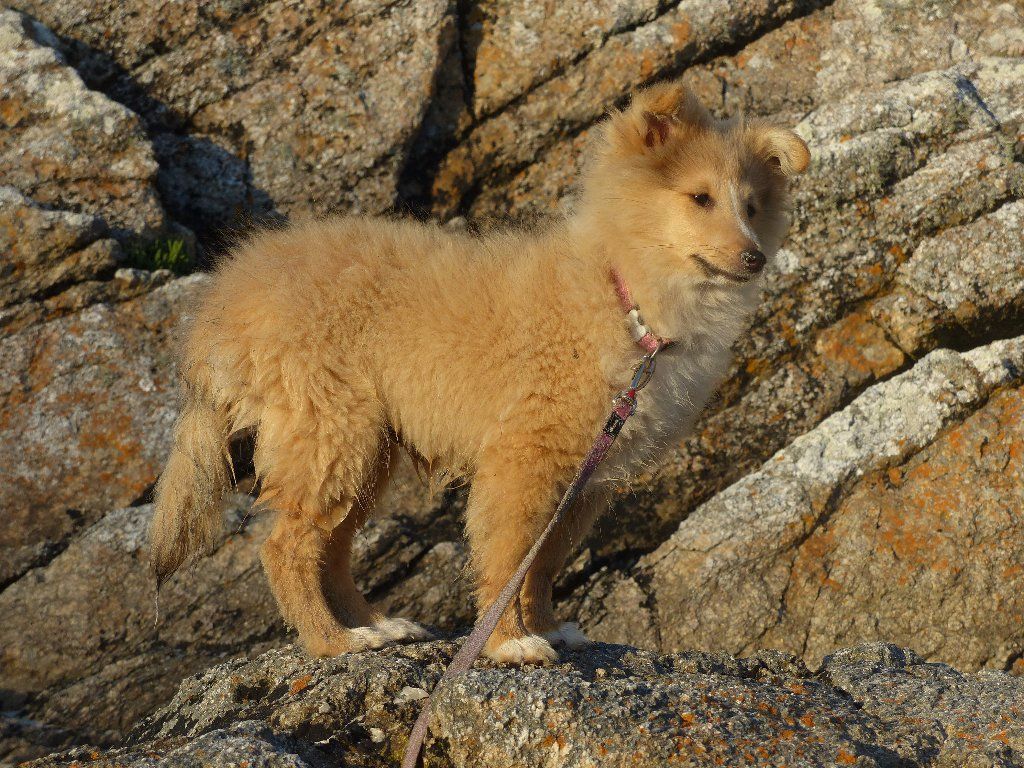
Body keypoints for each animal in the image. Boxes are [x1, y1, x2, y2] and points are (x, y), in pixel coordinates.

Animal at [149, 81, 806, 663]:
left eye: (752, 207)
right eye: (700, 199)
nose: (754, 257)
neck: (627, 300)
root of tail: (230, 290)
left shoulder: (588, 481)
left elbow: (543, 565)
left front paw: (547, 628)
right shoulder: (524, 460)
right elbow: (508, 557)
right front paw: (508, 642)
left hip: (366, 449)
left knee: (329, 550)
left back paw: (375, 626)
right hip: (333, 434)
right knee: (286, 546)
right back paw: (332, 643)